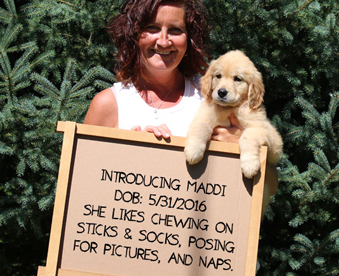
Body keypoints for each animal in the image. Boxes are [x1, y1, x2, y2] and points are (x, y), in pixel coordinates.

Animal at [185, 49, 282, 179]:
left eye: (237, 79)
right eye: (218, 76)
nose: (221, 92)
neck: (228, 109)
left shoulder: (263, 129)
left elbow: (247, 137)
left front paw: (249, 165)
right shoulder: (202, 118)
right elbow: (201, 126)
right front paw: (193, 151)